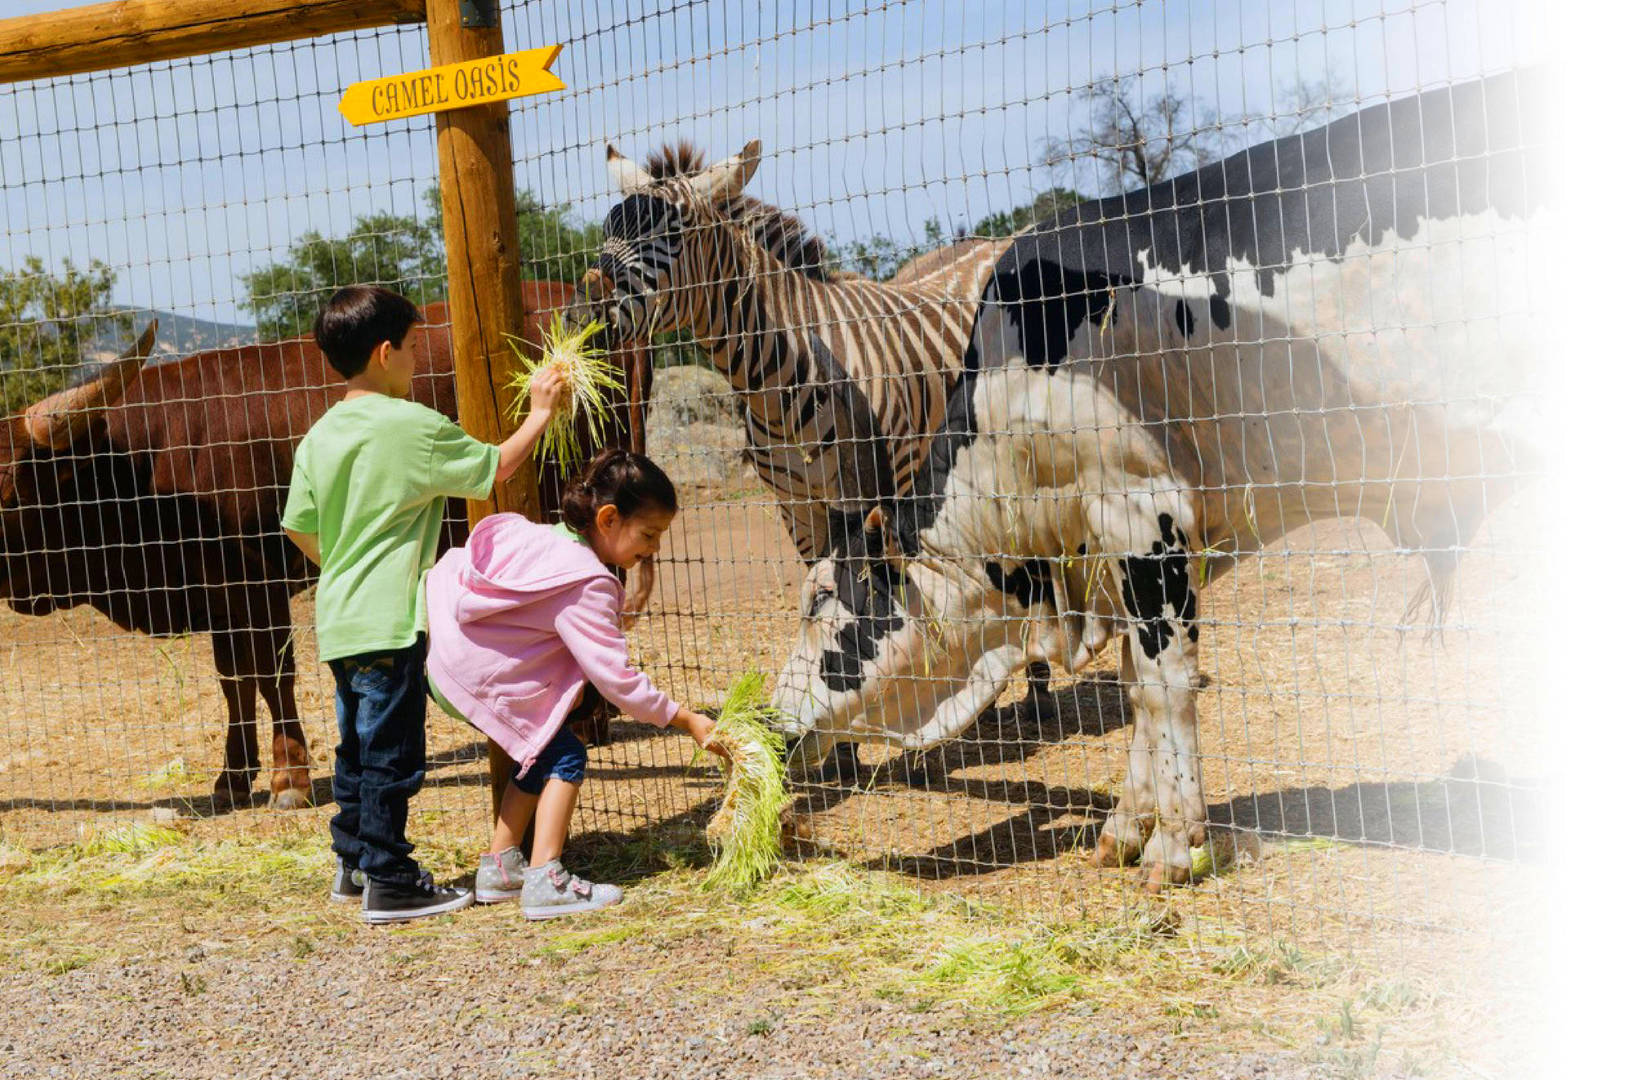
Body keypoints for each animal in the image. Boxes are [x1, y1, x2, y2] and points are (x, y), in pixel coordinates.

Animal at [0, 277, 650, 810]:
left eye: (8, 491)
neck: (137, 470)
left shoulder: (255, 580)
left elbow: (270, 674)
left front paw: (288, 776)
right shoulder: (217, 590)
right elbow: (232, 680)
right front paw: (232, 778)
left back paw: (592, 718)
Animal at [767, 71, 1542, 888]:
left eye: (818, 600)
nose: (767, 721)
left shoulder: (1144, 513)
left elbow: (1167, 684)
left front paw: (1175, 845)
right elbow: (1139, 682)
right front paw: (1125, 828)